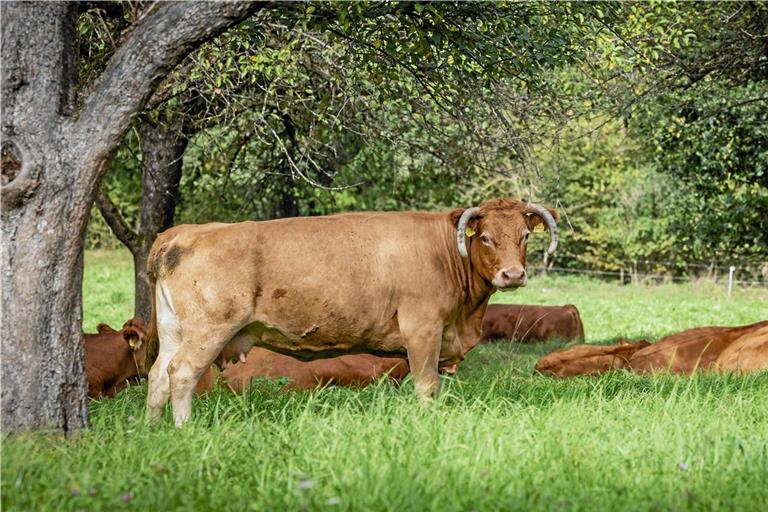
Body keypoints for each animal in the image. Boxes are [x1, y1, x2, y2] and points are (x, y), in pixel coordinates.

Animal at [144, 197, 560, 424]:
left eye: (524, 236)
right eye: (486, 237)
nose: (513, 274)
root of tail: (183, 232)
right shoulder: (423, 331)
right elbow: (427, 386)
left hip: (172, 331)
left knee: (157, 376)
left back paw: (152, 429)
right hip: (207, 331)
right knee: (182, 374)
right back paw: (184, 429)